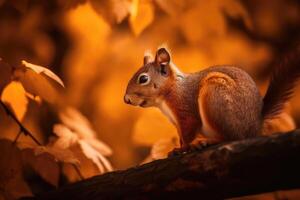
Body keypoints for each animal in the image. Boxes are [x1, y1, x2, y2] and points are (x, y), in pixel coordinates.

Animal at [123, 46, 300, 155]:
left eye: (143, 79)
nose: (126, 99)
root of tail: (256, 125)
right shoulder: (177, 123)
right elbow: (181, 136)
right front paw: (179, 147)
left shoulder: (186, 111)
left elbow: (188, 132)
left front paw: (183, 149)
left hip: (215, 98)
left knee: (233, 137)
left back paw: (207, 142)